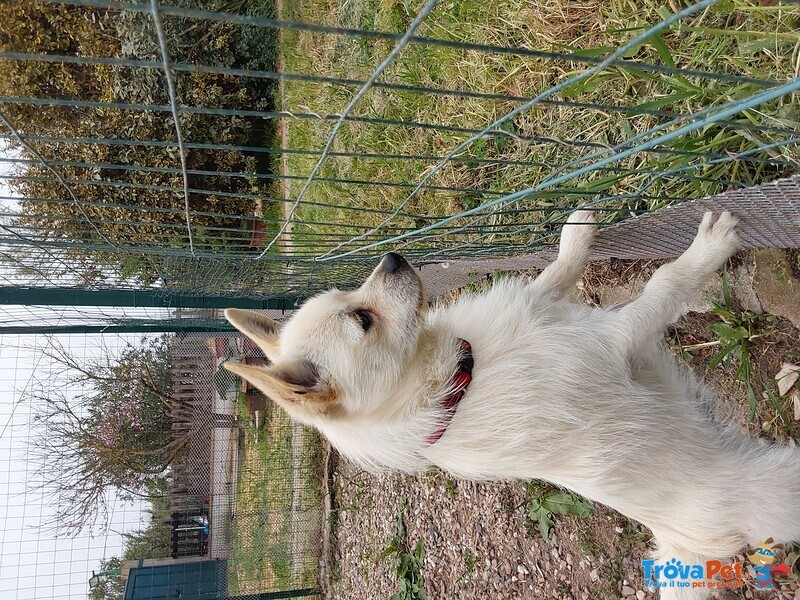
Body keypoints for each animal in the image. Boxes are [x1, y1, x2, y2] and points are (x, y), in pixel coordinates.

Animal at [225, 210, 800, 596]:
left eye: (350, 297)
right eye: (362, 319)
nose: (392, 257)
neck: (458, 381)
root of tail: (688, 546)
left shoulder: (544, 305)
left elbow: (553, 274)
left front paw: (576, 232)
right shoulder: (613, 338)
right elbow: (664, 282)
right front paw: (707, 249)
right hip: (779, 482)